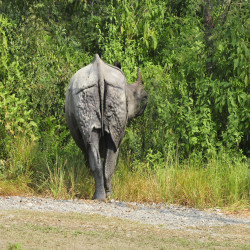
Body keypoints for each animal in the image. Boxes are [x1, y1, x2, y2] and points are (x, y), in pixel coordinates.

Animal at [65, 54, 146, 199]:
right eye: (140, 97)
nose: (146, 99)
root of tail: (100, 73)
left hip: (90, 91)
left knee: (100, 147)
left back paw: (102, 196)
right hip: (104, 92)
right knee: (109, 149)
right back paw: (106, 195)